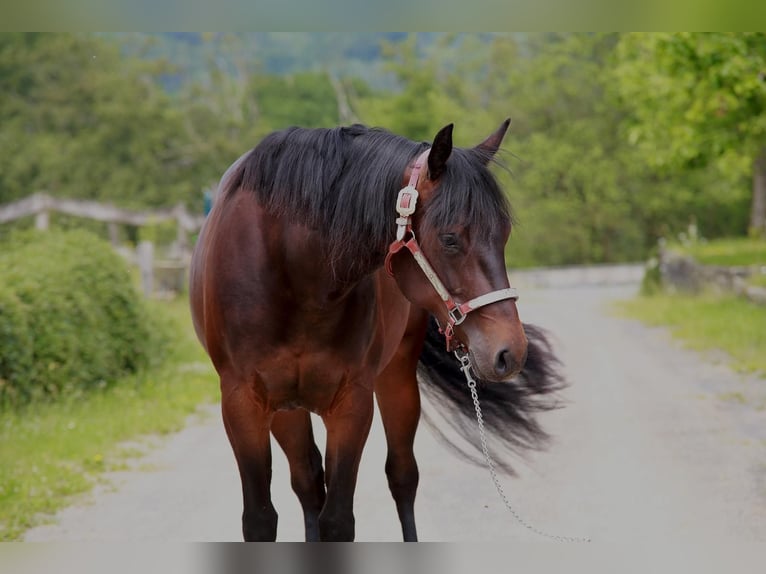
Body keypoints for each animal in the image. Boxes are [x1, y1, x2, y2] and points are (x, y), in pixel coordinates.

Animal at [189, 120, 563, 542]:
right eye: (450, 238)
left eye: (504, 235)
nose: (510, 352)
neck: (294, 268)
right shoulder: (242, 404)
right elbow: (260, 519)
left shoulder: (352, 403)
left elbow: (338, 520)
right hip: (286, 407)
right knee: (307, 481)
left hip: (395, 378)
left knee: (401, 475)